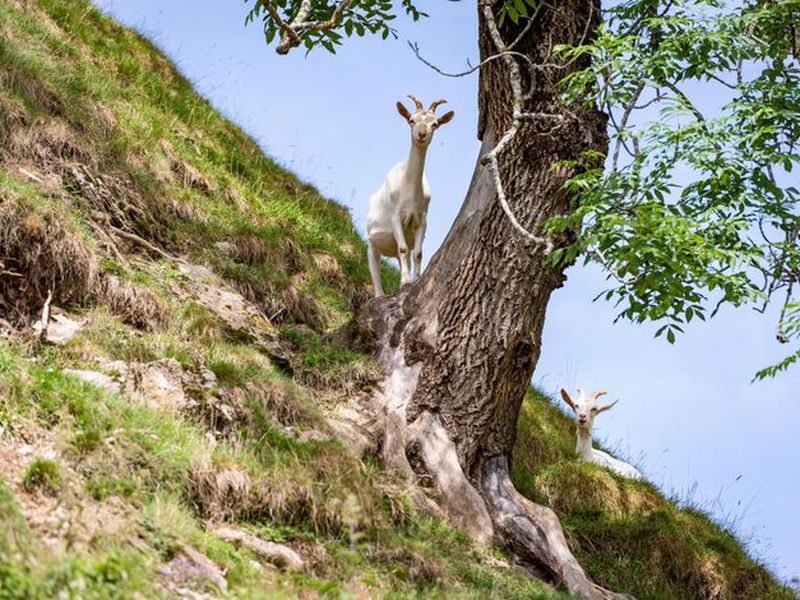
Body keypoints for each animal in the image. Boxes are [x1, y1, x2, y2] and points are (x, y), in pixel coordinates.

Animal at [366, 94, 454, 298]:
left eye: (435, 124)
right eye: (411, 120)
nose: (421, 134)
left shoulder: (422, 219)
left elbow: (417, 253)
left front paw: (413, 279)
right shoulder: (395, 216)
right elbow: (404, 248)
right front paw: (406, 281)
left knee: (401, 257)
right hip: (371, 244)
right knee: (375, 270)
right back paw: (380, 294)